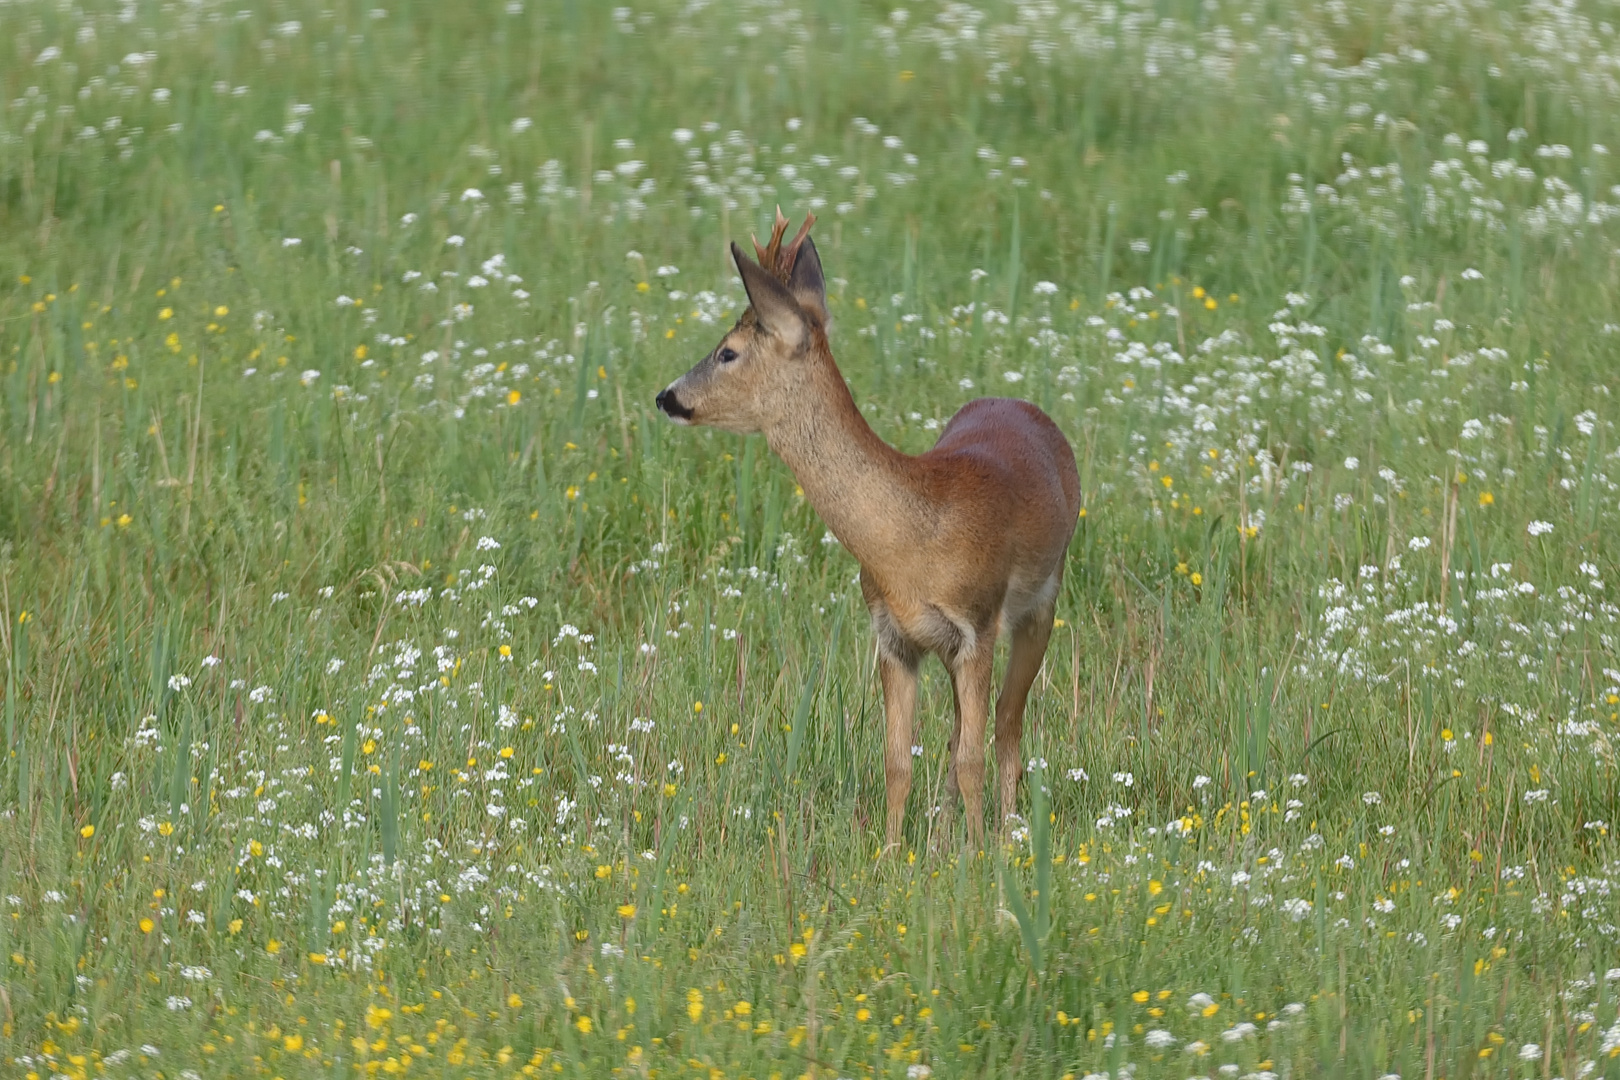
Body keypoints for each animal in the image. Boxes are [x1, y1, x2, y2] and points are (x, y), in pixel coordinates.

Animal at [651, 208, 1082, 854]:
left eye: (727, 352)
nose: (667, 396)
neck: (909, 543)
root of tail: (1026, 406)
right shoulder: (893, 635)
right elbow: (899, 759)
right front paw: (891, 854)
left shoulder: (976, 626)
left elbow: (973, 756)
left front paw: (978, 856)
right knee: (964, 733)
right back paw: (941, 836)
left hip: (1042, 601)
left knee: (1007, 725)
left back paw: (1006, 833)